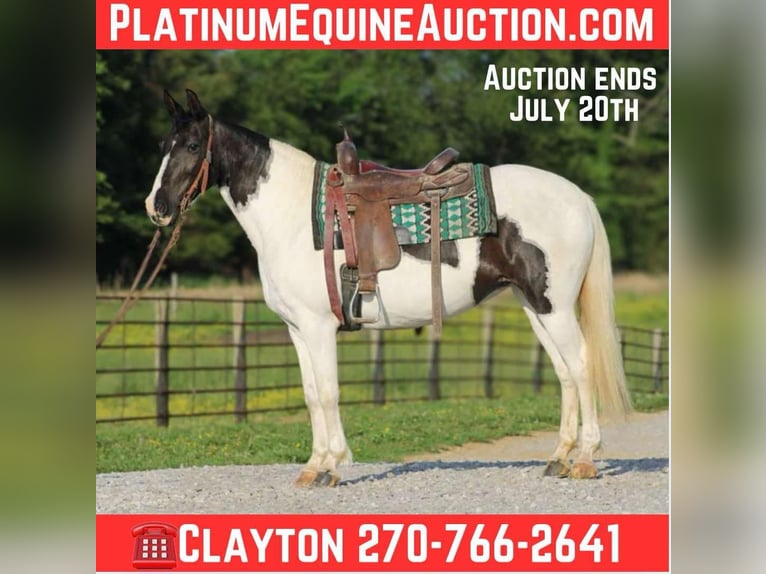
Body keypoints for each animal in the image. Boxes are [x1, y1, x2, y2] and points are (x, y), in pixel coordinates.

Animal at [145, 89, 631, 486]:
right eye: (163, 146)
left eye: (192, 146)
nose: (156, 207)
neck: (294, 216)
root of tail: (578, 198)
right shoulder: (297, 330)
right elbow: (310, 394)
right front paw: (312, 467)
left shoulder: (319, 328)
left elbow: (328, 393)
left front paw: (332, 466)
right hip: (535, 307)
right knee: (566, 373)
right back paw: (559, 458)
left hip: (555, 307)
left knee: (582, 366)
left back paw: (585, 460)